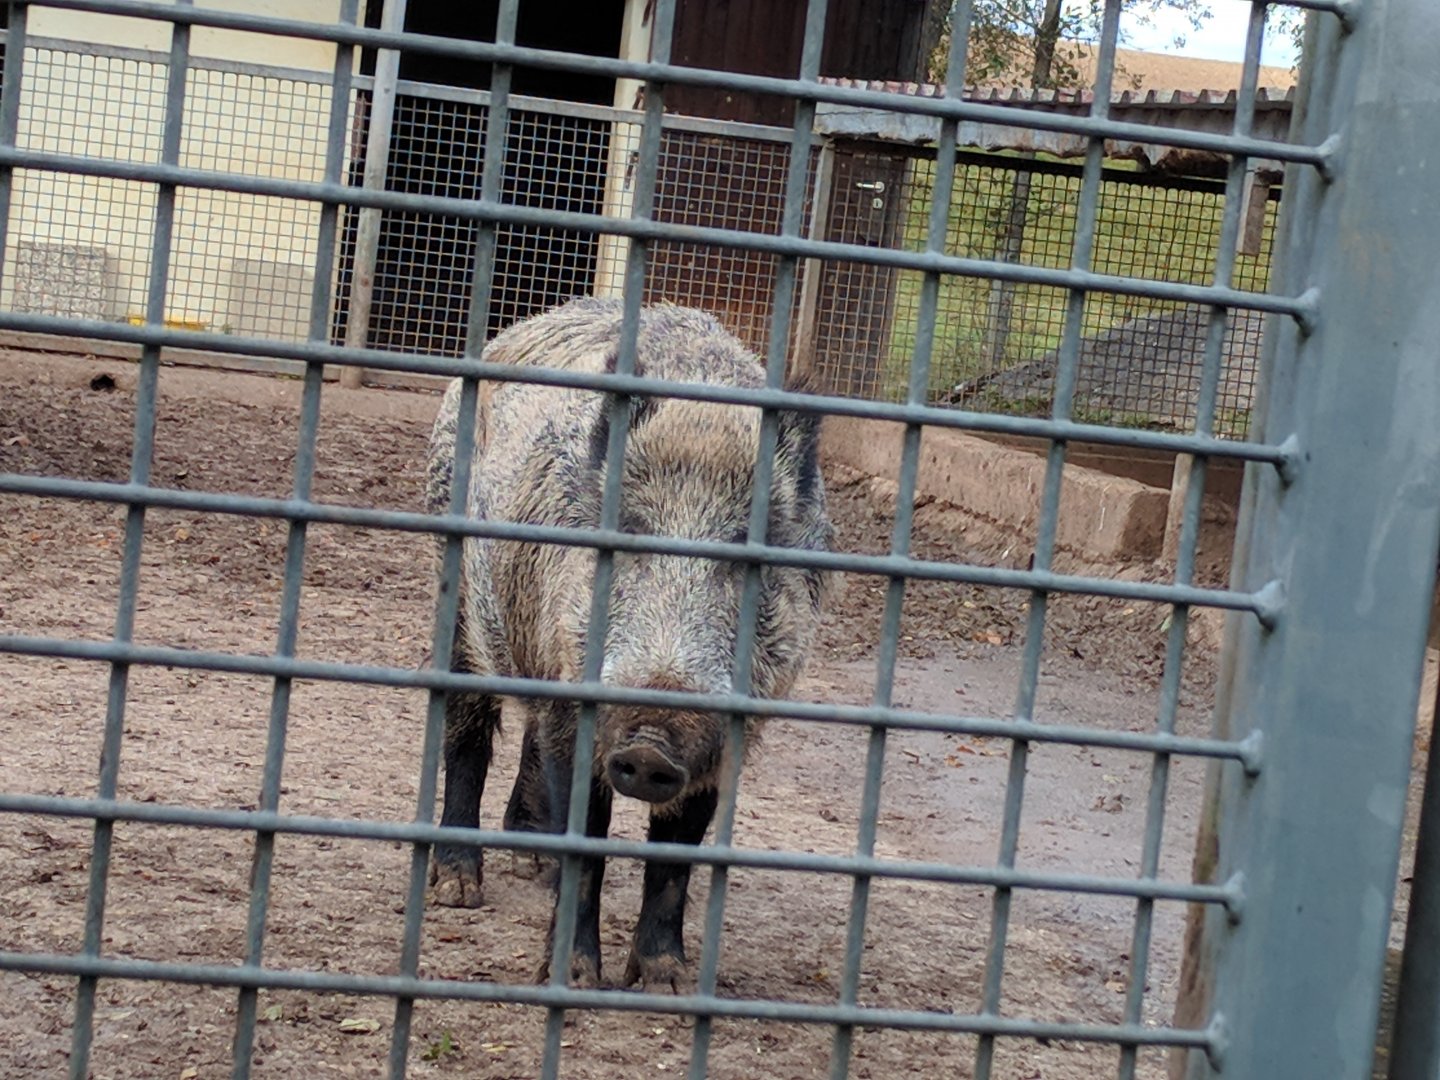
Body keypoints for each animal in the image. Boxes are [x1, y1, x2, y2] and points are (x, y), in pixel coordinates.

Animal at [423, 297, 832, 990]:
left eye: (745, 560)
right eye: (630, 533)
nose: (649, 742)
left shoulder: (722, 740)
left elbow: (674, 857)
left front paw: (665, 983)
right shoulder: (576, 708)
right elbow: (586, 841)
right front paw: (574, 979)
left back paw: (529, 858)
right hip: (457, 599)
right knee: (468, 732)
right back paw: (456, 889)